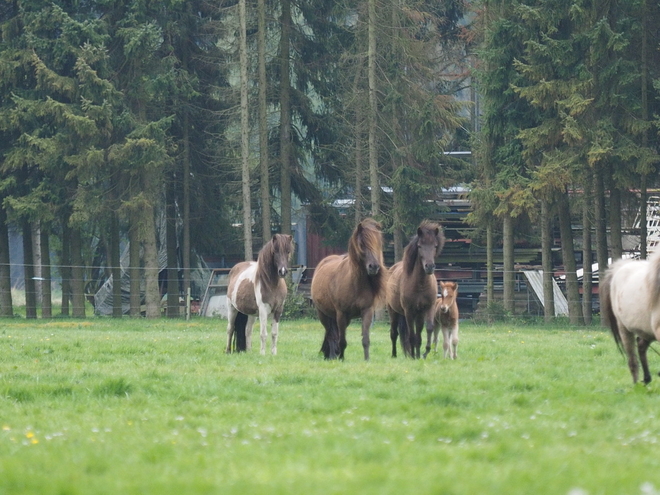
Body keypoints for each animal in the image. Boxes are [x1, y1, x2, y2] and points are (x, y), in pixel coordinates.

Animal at [310, 217, 386, 360]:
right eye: (362, 244)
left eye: (378, 242)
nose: (374, 267)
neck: (355, 284)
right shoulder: (341, 314)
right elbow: (342, 341)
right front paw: (341, 358)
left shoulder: (367, 311)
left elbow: (365, 339)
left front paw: (367, 359)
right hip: (323, 315)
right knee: (331, 335)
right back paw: (332, 356)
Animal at [386, 223, 444, 358]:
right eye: (419, 246)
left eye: (435, 245)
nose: (429, 267)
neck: (420, 285)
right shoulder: (409, 311)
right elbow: (412, 335)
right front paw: (413, 356)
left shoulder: (427, 308)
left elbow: (427, 329)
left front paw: (423, 353)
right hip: (393, 312)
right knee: (394, 333)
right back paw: (394, 355)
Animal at [600, 254, 660, 386]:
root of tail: (620, 266)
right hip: (624, 329)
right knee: (632, 361)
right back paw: (636, 385)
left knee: (641, 346)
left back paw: (647, 378)